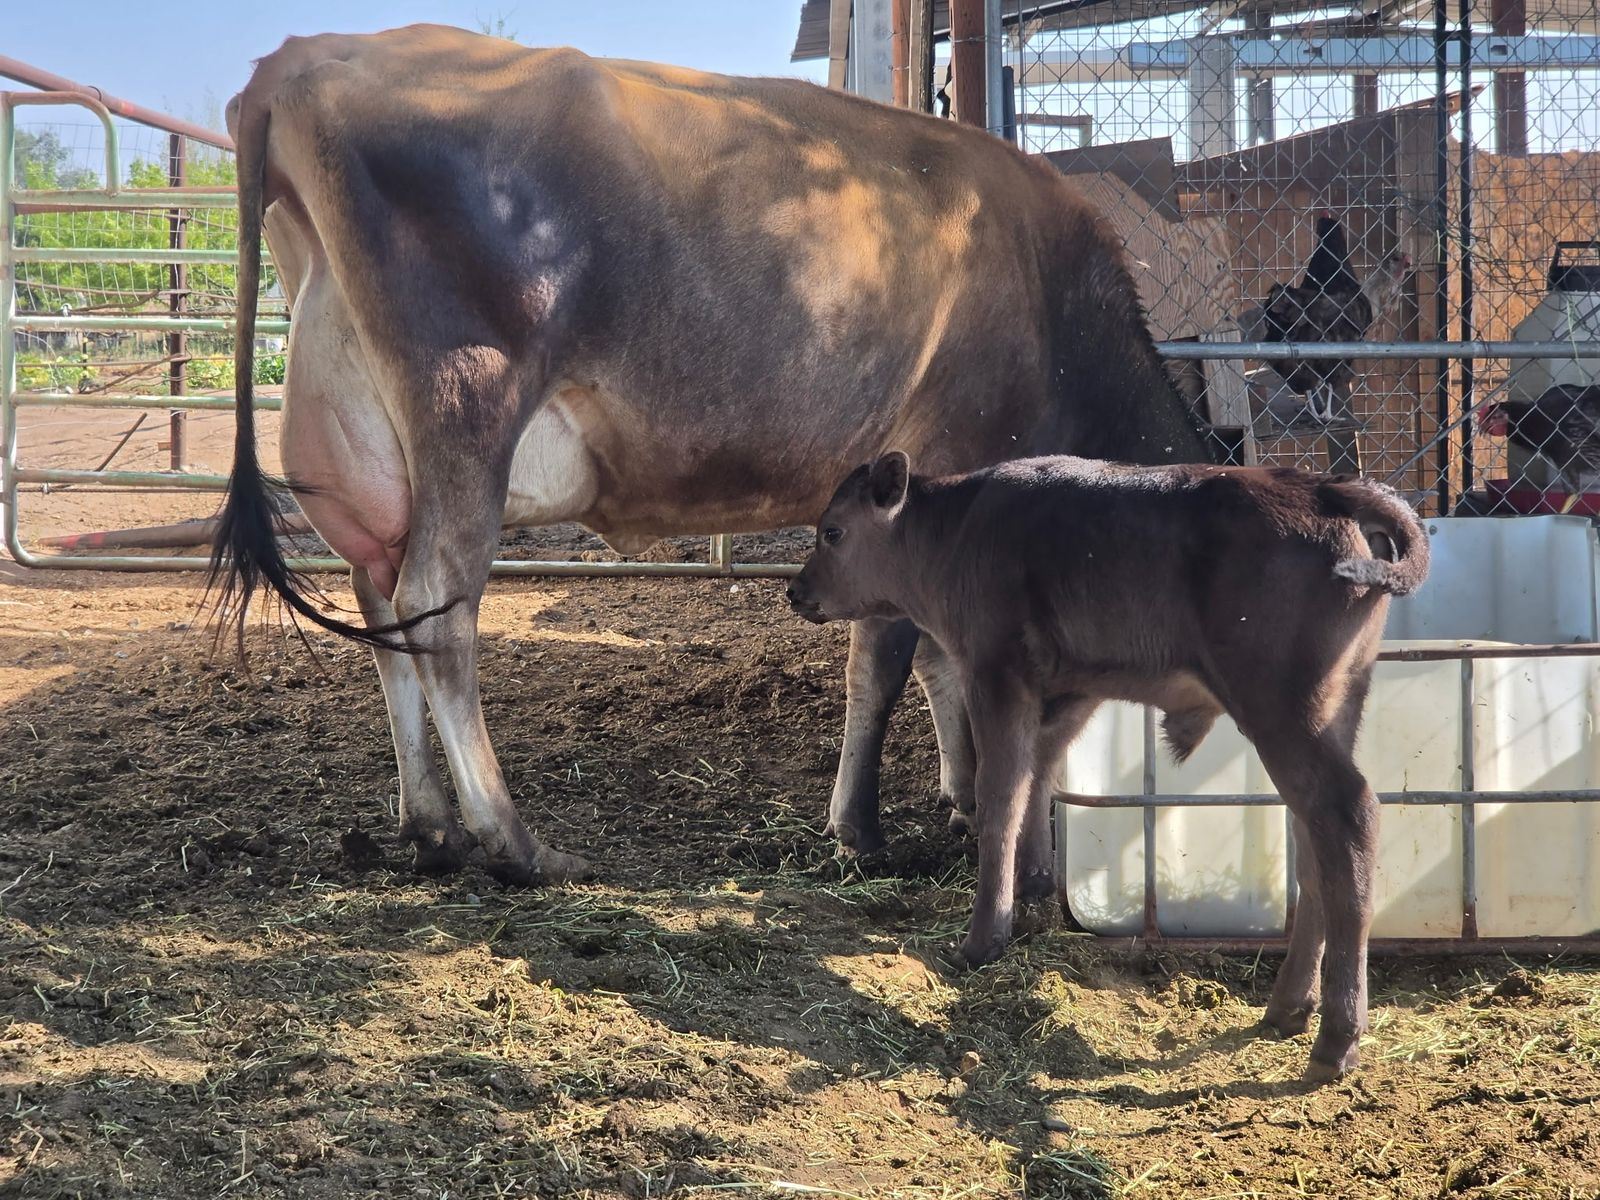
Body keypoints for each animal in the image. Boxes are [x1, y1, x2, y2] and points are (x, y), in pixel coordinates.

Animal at [212, 24, 1215, 887]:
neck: (1063, 315)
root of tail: (303, 57)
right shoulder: (928, 473)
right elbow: (887, 660)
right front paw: (863, 829)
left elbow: (937, 653)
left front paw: (962, 797)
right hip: (469, 406)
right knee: (436, 607)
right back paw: (515, 840)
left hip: (363, 433)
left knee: (381, 597)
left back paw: (429, 826)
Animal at [785, 452, 1429, 1080]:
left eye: (831, 531)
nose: (796, 589)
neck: (954, 528)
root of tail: (1325, 488)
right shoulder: (1073, 688)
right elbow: (1039, 775)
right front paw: (1033, 888)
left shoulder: (998, 674)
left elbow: (1002, 794)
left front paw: (983, 939)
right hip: (1335, 705)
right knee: (1314, 843)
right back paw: (1288, 1007)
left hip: (1281, 710)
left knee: (1347, 817)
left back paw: (1336, 1040)